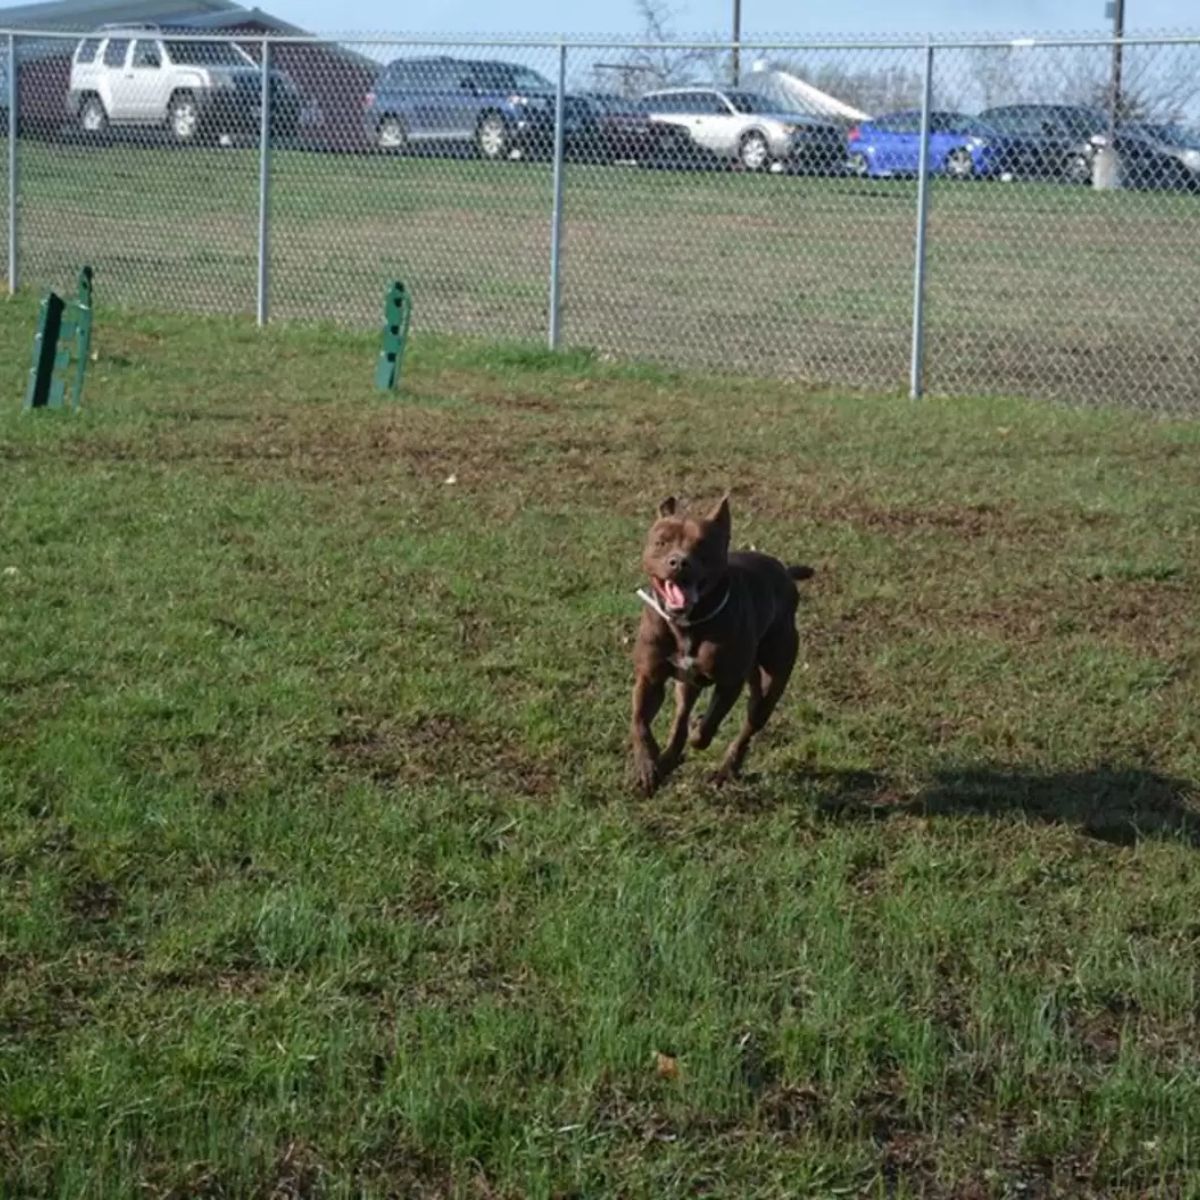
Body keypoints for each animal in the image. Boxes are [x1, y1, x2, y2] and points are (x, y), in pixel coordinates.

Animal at [628, 496, 816, 796]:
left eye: (702, 545)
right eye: (662, 542)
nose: (678, 562)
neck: (688, 624)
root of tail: (786, 573)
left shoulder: (729, 683)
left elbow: (709, 725)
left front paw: (698, 733)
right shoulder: (650, 678)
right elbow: (639, 722)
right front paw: (648, 765)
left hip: (772, 679)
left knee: (751, 723)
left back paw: (726, 769)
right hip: (688, 684)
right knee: (680, 719)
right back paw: (667, 760)